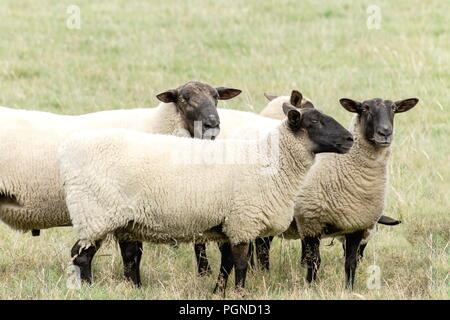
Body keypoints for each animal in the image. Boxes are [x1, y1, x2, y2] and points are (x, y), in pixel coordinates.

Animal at [59, 101, 356, 288]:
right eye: (315, 121)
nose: (350, 139)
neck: (270, 159)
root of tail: (70, 154)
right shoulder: (242, 221)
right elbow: (240, 265)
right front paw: (239, 293)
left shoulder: (228, 224)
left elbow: (227, 265)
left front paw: (218, 291)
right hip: (96, 212)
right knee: (80, 255)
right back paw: (87, 288)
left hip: (109, 217)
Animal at [294, 96, 420, 288]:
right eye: (365, 108)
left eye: (394, 108)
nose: (385, 133)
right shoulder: (311, 223)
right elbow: (314, 262)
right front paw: (309, 287)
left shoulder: (356, 225)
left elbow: (350, 263)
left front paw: (349, 288)